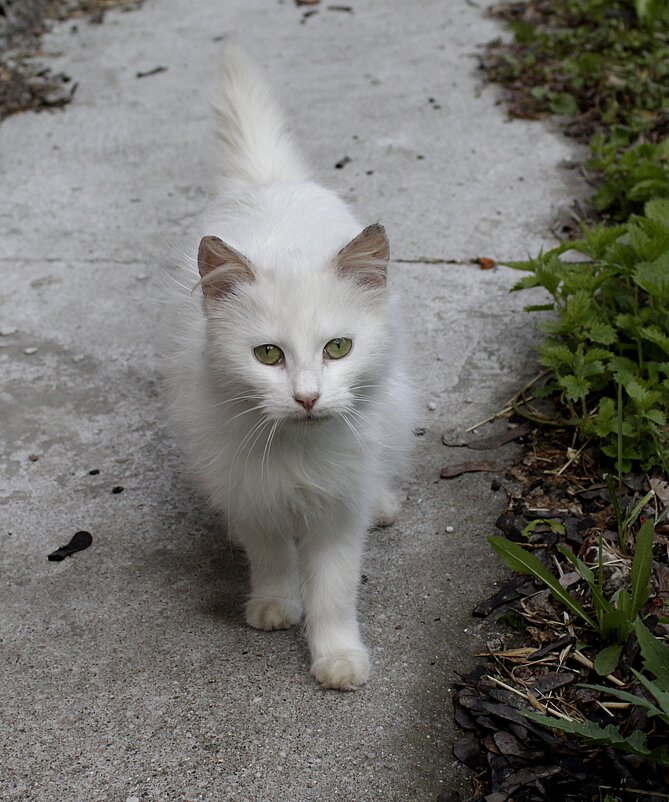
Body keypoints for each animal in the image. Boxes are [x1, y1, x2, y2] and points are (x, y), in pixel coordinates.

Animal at [167, 47, 414, 688]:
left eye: (338, 348)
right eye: (268, 355)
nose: (306, 397)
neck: (298, 454)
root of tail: (268, 183)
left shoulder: (337, 513)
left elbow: (334, 591)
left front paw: (337, 658)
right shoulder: (252, 491)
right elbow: (272, 556)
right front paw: (276, 605)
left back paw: (382, 504)